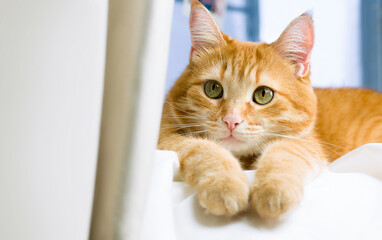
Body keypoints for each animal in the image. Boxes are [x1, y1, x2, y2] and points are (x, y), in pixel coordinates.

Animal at [157, 0, 382, 218]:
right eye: (213, 88)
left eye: (263, 94)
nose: (231, 120)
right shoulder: (165, 139)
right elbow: (204, 149)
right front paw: (226, 184)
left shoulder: (305, 143)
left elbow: (283, 154)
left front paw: (273, 190)